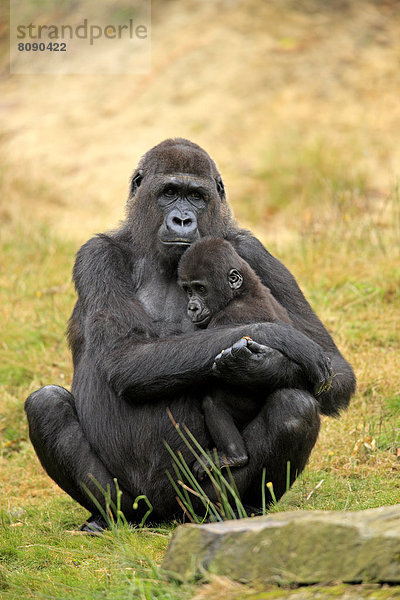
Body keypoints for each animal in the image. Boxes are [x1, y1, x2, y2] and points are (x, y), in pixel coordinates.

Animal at [179, 238, 290, 478]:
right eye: (188, 290)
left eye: (201, 289)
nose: (191, 307)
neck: (243, 291)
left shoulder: (227, 317)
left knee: (213, 402)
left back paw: (233, 456)